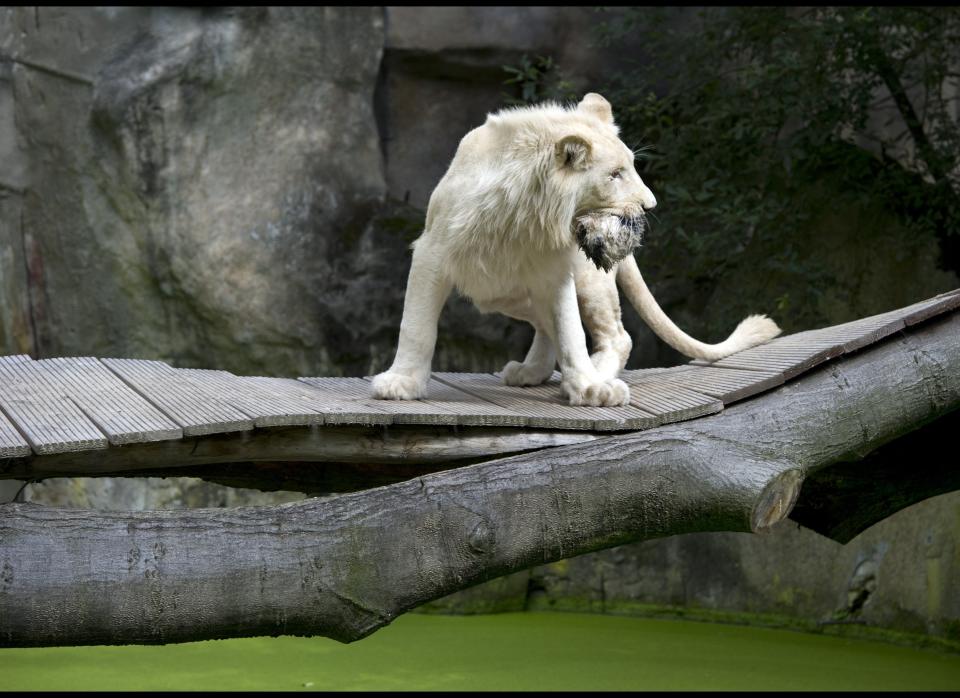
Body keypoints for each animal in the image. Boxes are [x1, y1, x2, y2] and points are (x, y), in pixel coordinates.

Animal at [368, 95, 780, 406]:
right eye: (614, 174)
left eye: (631, 166)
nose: (650, 205)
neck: (522, 217)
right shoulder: (432, 252)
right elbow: (416, 325)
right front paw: (401, 383)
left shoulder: (557, 272)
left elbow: (571, 332)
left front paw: (589, 387)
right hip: (502, 292)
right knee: (544, 326)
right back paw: (532, 372)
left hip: (585, 279)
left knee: (617, 336)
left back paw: (591, 375)